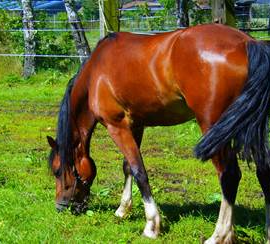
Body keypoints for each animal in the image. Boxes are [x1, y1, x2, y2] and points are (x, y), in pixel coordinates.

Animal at [47, 23, 270, 242]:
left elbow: (139, 171)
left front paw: (152, 225)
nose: (60, 207)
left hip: (214, 128)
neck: (96, 72)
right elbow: (127, 167)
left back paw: (219, 235)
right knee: (264, 171)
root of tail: (247, 43)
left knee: (229, 175)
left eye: (57, 171)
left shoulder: (116, 126)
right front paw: (122, 210)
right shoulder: (136, 126)